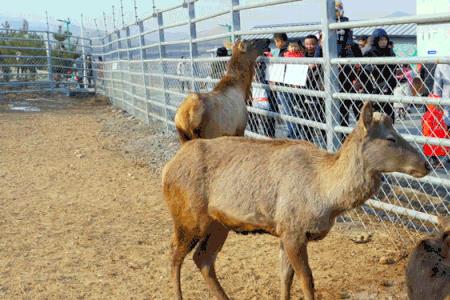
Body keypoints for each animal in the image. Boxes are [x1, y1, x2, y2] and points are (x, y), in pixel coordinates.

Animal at [163, 103, 430, 300]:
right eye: (390, 139)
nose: (426, 165)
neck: (327, 197)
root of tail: (168, 167)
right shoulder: (293, 230)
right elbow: (307, 280)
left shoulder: (285, 231)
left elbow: (285, 278)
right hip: (188, 217)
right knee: (175, 255)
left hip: (219, 224)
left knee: (203, 258)